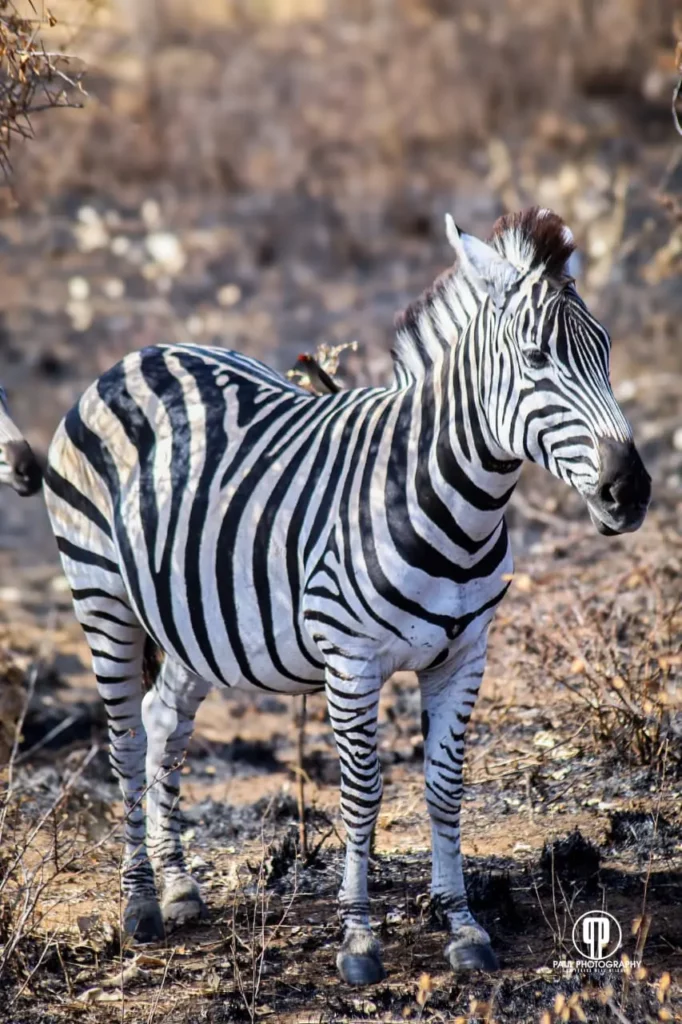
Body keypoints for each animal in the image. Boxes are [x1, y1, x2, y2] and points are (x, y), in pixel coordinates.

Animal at [43, 208, 650, 985]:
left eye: (605, 350)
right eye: (537, 358)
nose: (630, 491)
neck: (451, 501)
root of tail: (140, 355)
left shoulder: (466, 656)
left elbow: (445, 788)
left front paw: (463, 926)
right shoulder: (352, 662)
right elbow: (362, 796)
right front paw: (359, 937)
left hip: (193, 617)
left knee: (163, 721)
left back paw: (178, 885)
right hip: (102, 597)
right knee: (122, 738)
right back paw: (140, 902)